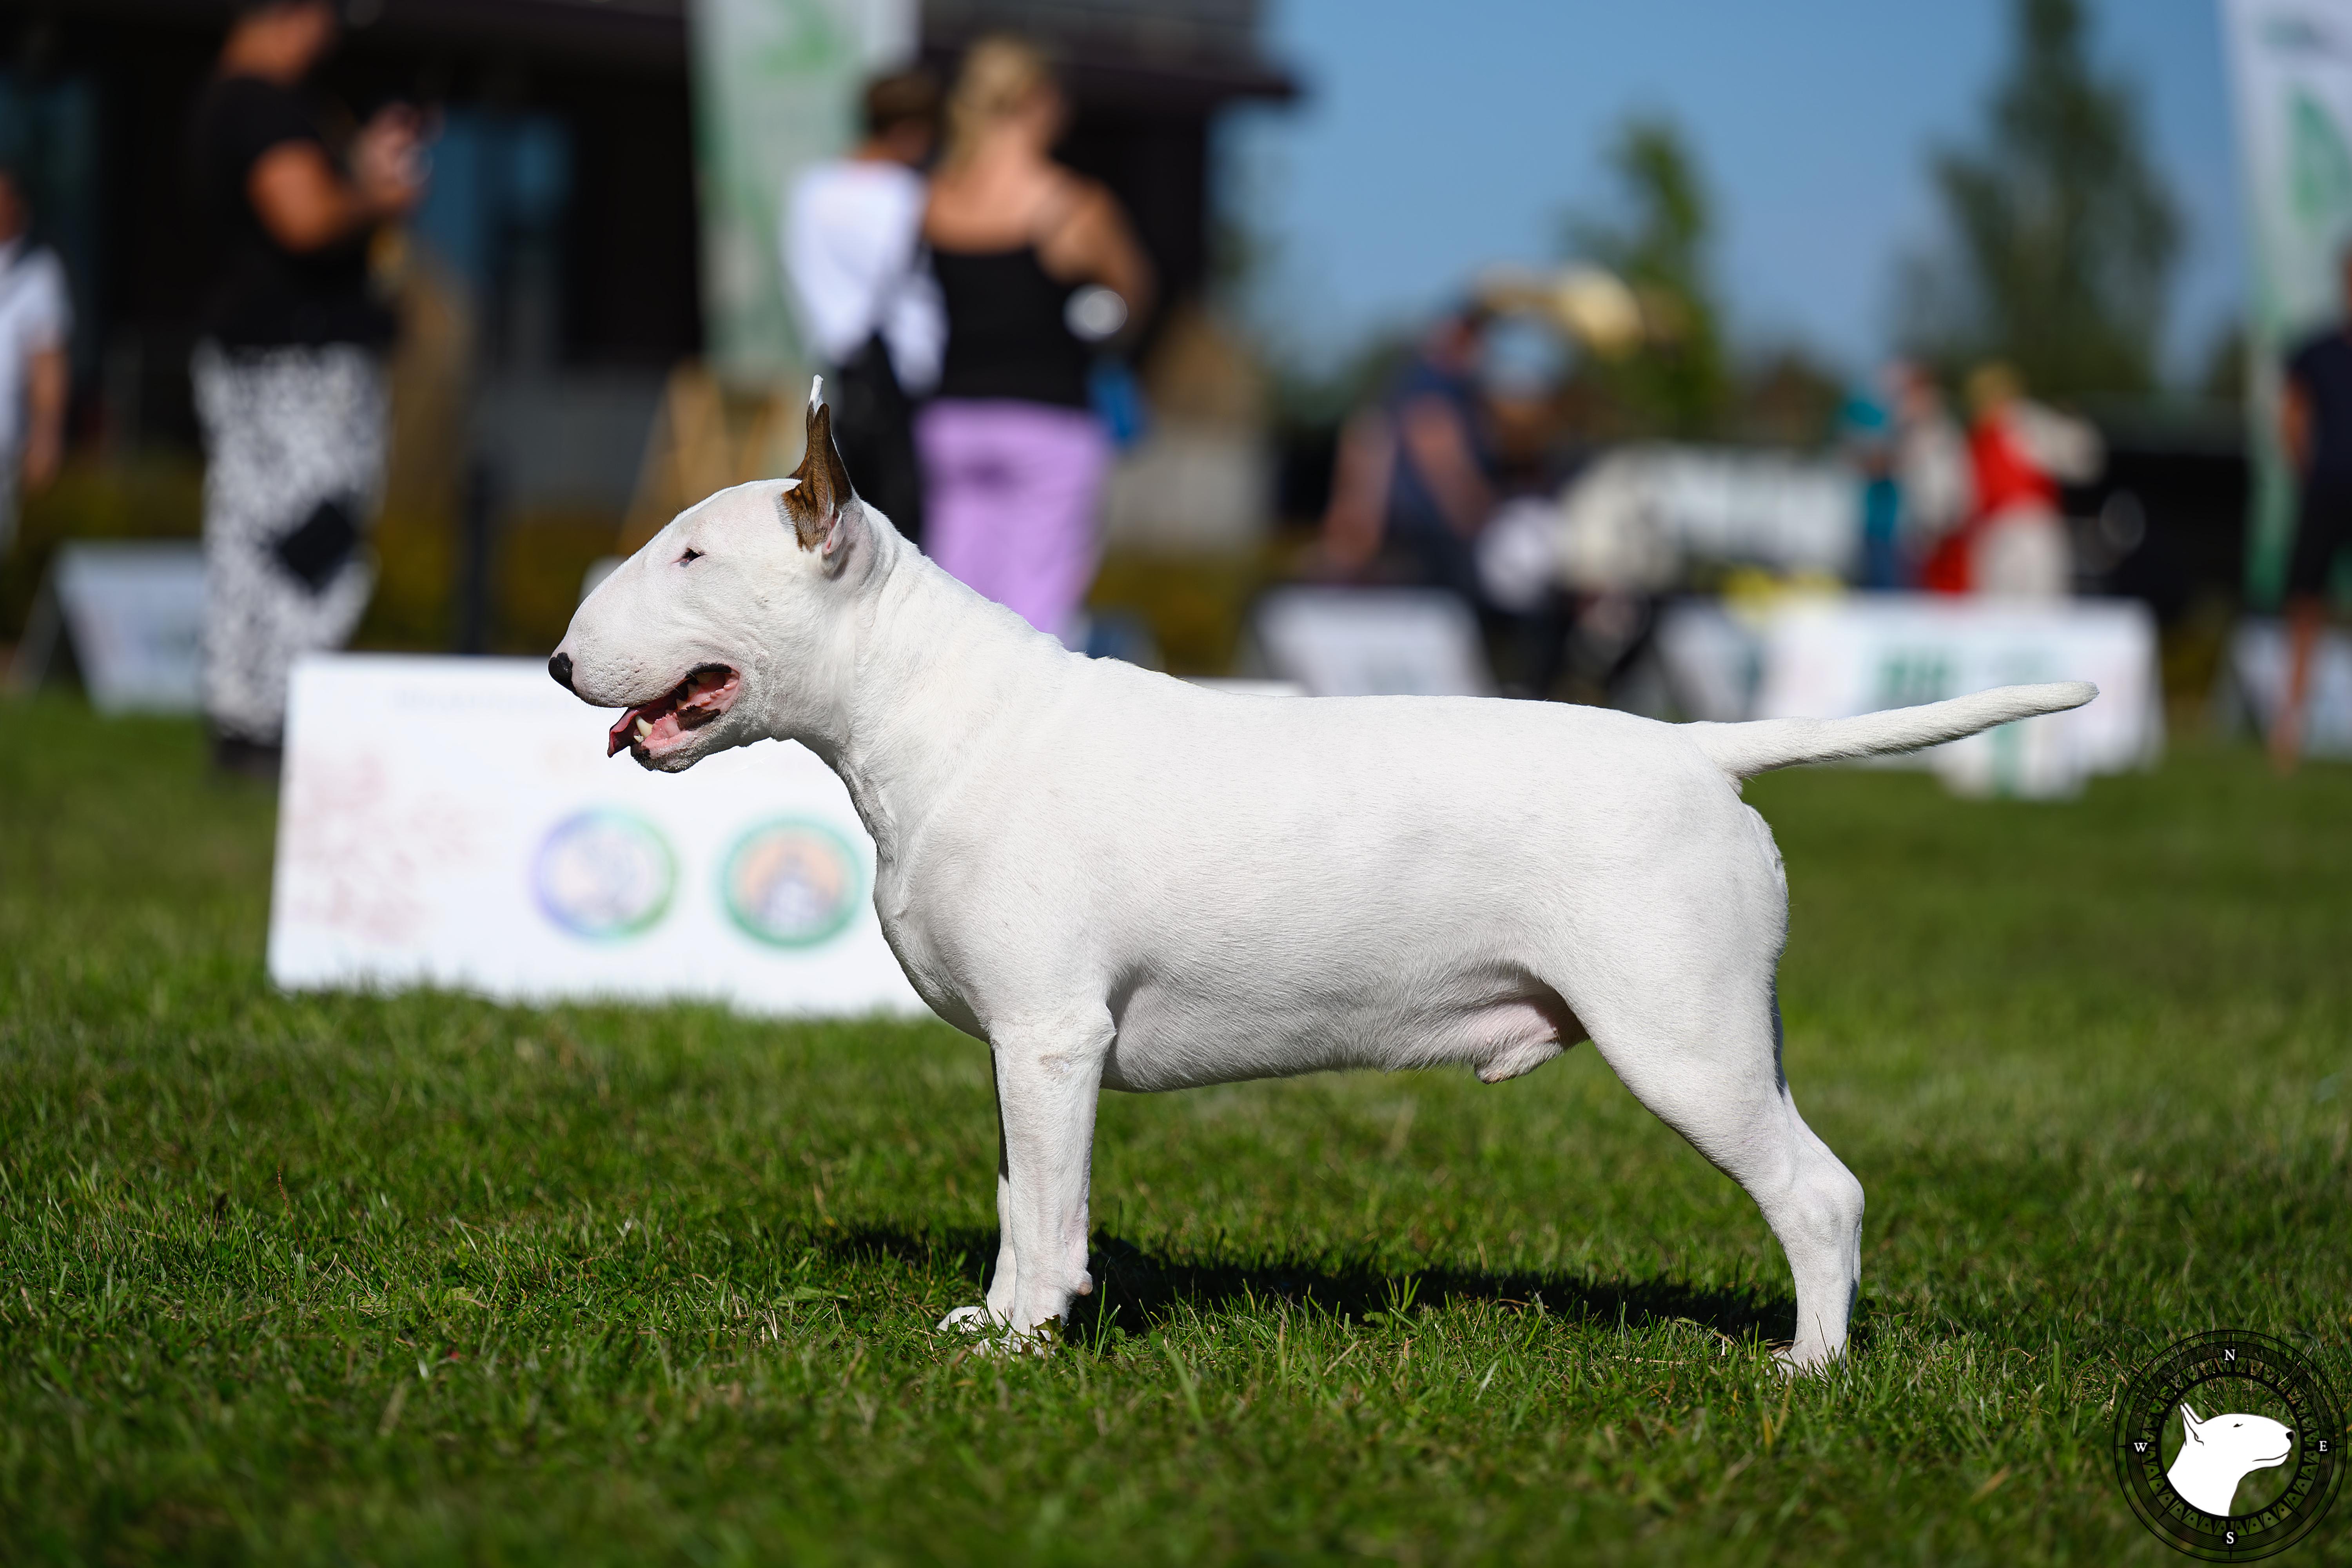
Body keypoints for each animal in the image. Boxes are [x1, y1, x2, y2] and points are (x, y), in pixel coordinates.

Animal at [550, 385, 2098, 1363]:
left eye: (692, 552)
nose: (561, 664)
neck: (936, 714)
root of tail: (1700, 748)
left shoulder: (1052, 1033)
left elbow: (1048, 1210)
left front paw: (1025, 1345)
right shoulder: (1017, 1045)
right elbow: (1011, 1195)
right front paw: (990, 1321)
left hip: (1685, 1036)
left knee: (1819, 1194)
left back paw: (1808, 1371)